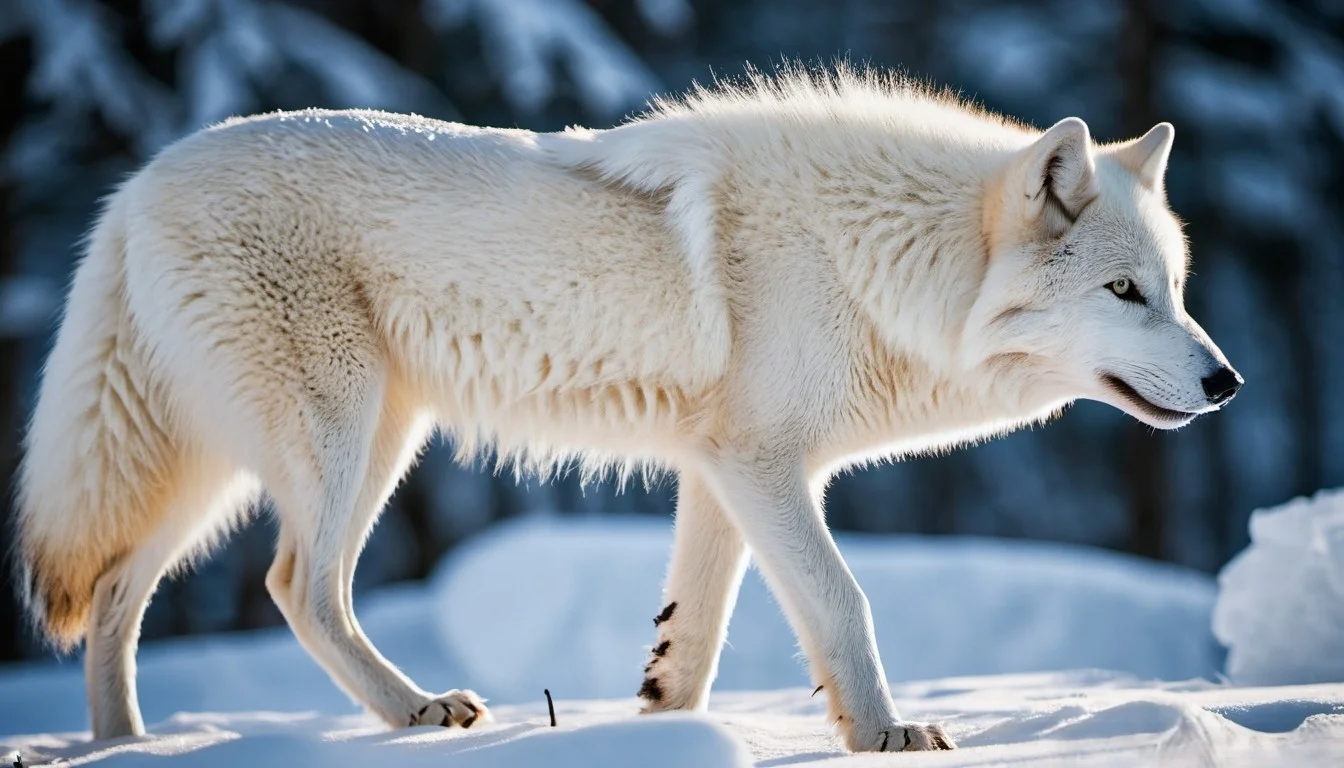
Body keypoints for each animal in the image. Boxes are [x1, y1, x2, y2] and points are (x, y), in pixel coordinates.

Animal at [15, 68, 1240, 752]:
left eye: (1177, 289)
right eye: (1123, 293)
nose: (1226, 382)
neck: (881, 259)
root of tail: (134, 189)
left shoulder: (718, 473)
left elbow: (689, 642)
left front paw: (665, 736)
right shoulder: (766, 467)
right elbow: (844, 604)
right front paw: (888, 735)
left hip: (254, 465)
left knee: (117, 592)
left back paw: (123, 748)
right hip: (340, 439)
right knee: (296, 589)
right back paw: (413, 715)